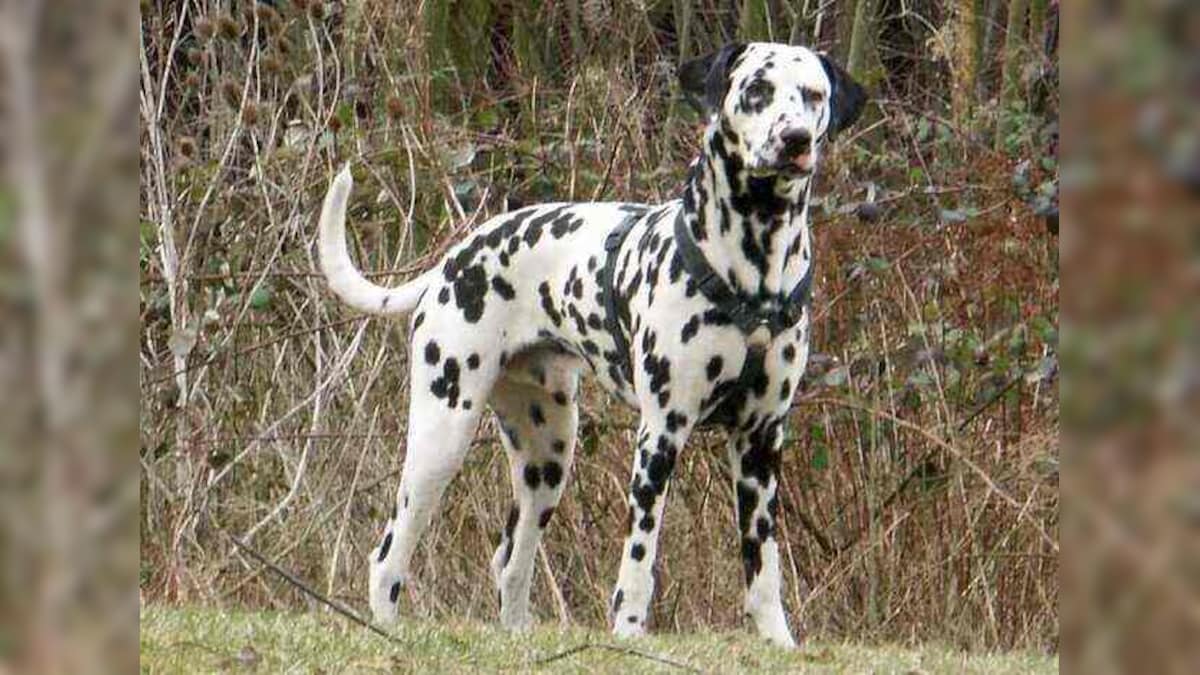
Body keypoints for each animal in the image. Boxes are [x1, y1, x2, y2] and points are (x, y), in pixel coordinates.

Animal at [319, 42, 864, 648]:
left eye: (812, 95)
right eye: (758, 91)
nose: (795, 139)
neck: (754, 269)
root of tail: (454, 259)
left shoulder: (761, 443)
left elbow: (764, 567)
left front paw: (777, 641)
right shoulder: (660, 436)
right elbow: (639, 560)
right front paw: (628, 634)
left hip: (547, 457)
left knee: (511, 564)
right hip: (442, 437)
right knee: (389, 556)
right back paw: (386, 630)